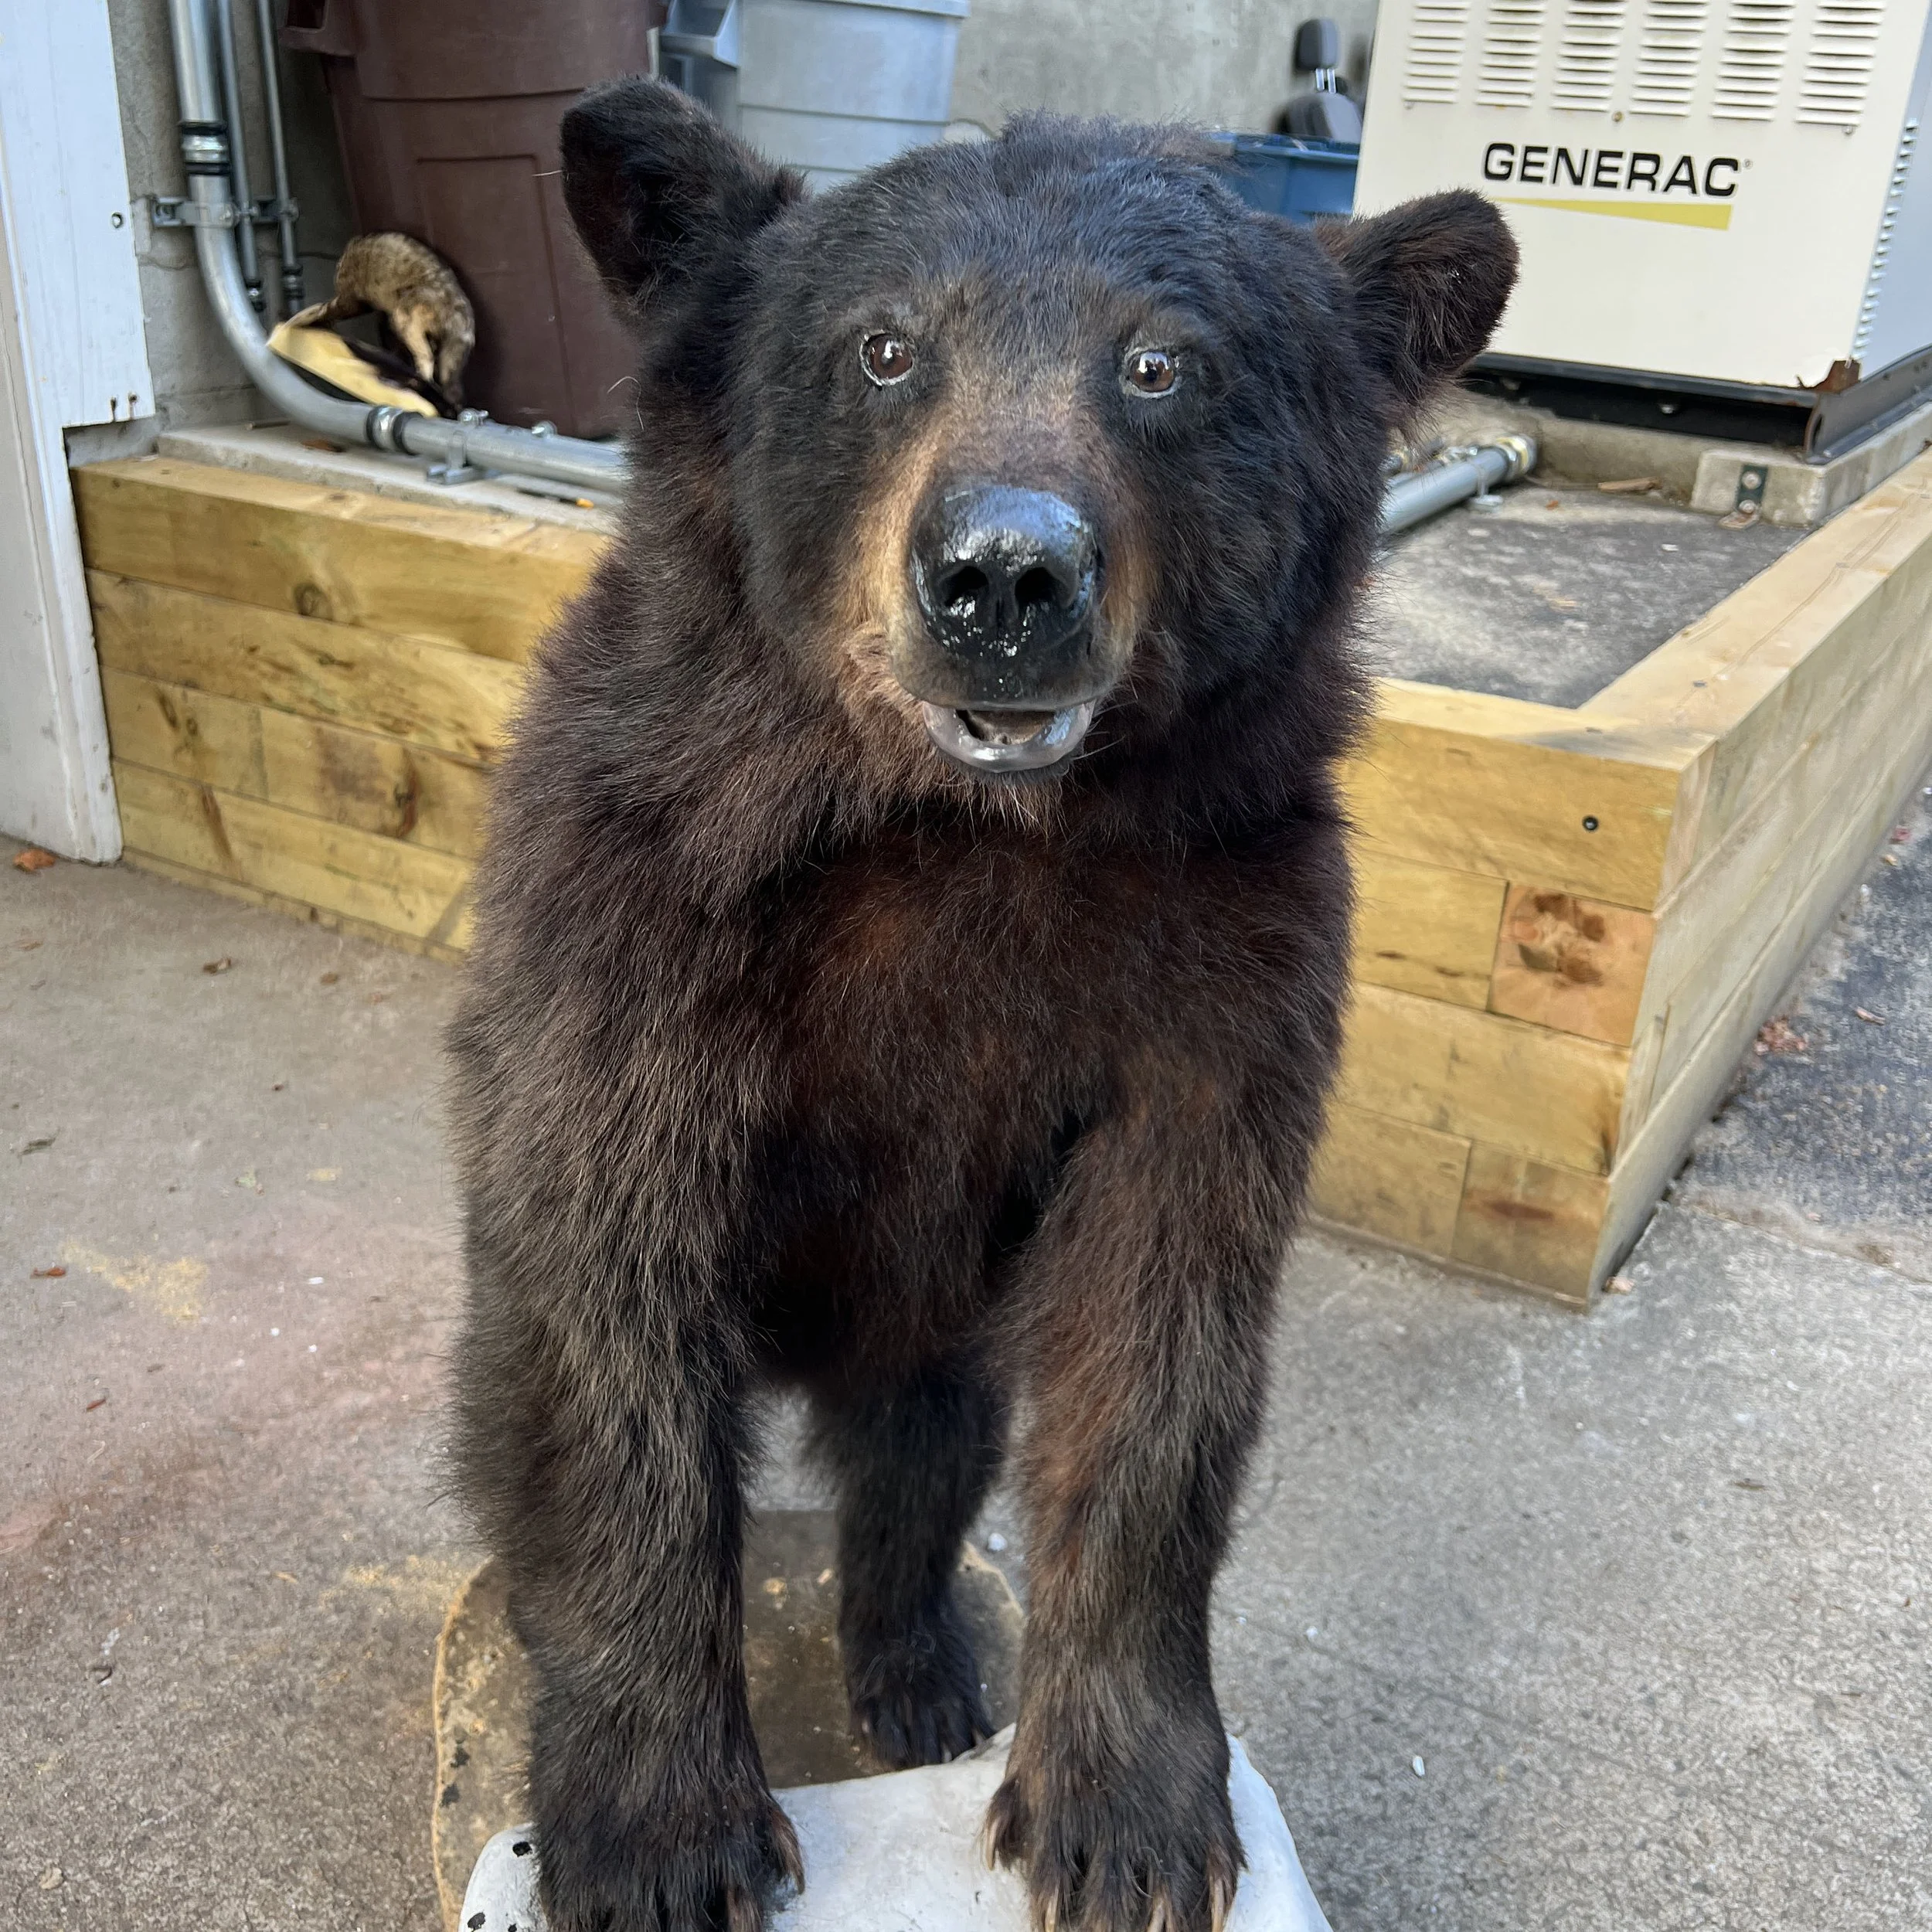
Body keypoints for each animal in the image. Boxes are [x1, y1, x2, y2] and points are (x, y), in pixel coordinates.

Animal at [448, 77, 1515, 1932]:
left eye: (1161, 363)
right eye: (884, 347)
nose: (1005, 578)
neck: (964, 834)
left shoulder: (1217, 971)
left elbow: (1156, 1353)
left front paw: (1128, 1811)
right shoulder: (642, 925)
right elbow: (603, 1316)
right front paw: (656, 1831)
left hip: (927, 1318)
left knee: (922, 1452)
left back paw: (917, 1669)